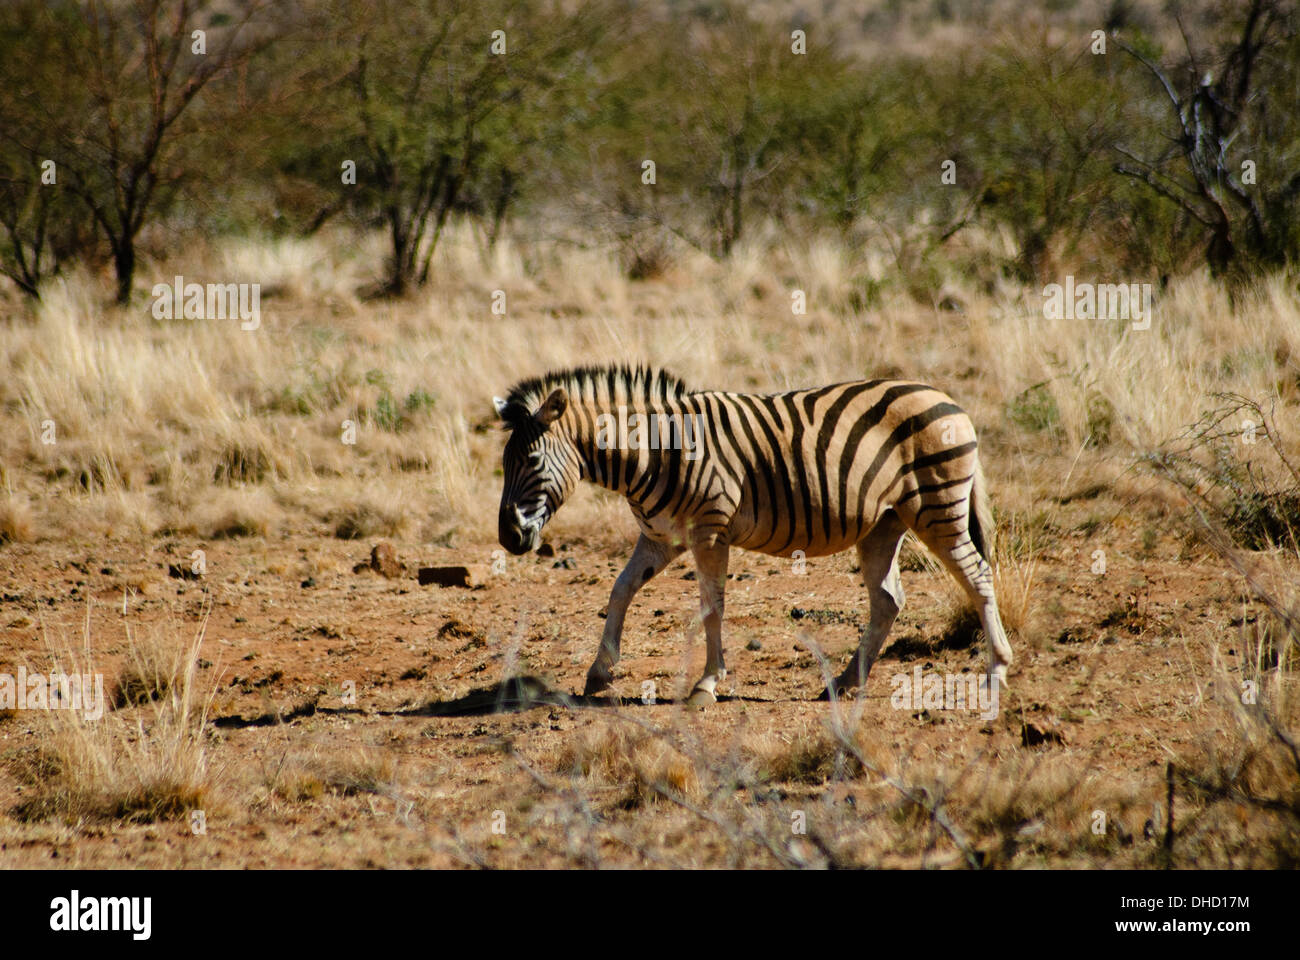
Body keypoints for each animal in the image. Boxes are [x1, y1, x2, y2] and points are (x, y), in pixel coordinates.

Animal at [494, 365, 1012, 706]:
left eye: (533, 461)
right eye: (503, 463)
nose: (508, 538)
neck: (655, 451)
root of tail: (950, 401)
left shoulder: (708, 532)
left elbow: (711, 606)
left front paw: (706, 684)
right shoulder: (661, 537)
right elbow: (620, 590)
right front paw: (599, 672)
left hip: (936, 507)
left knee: (977, 575)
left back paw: (996, 672)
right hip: (884, 523)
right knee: (888, 600)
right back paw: (845, 682)